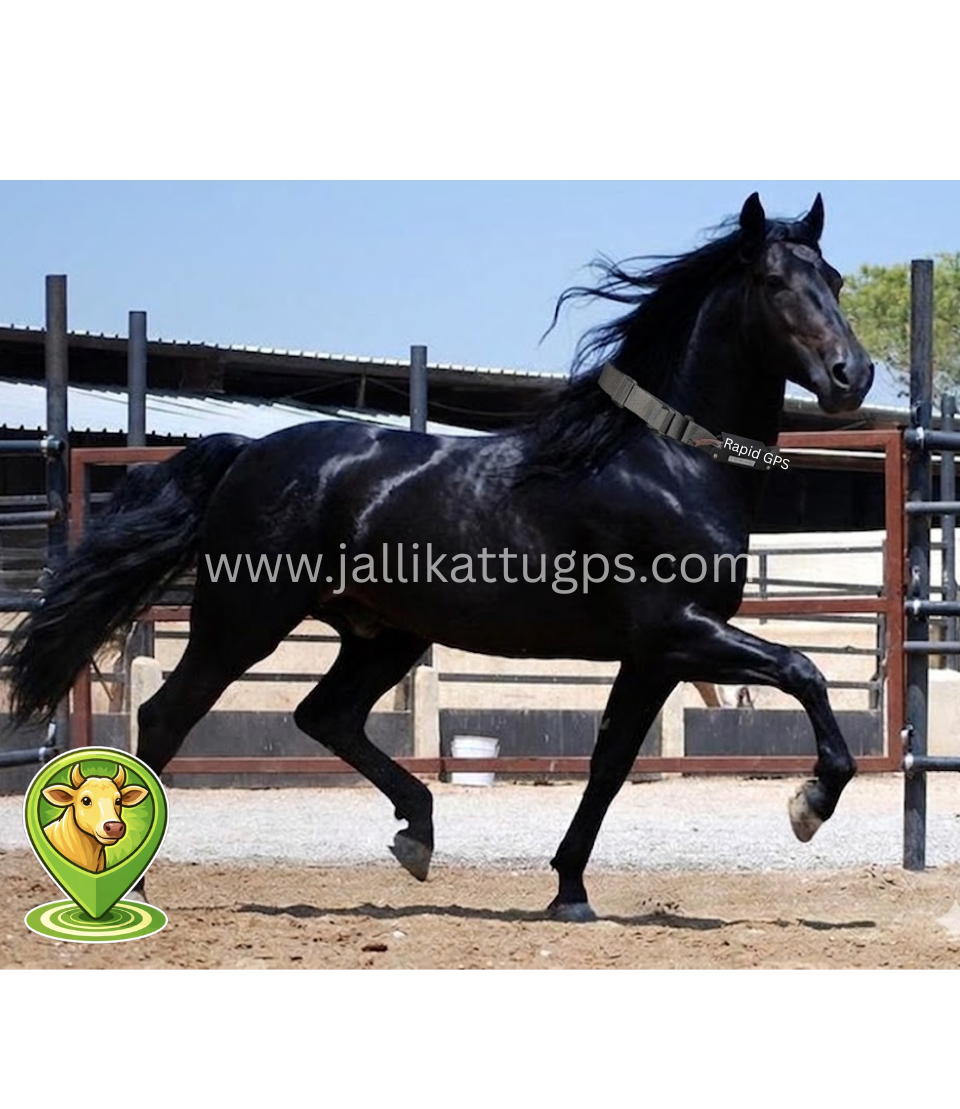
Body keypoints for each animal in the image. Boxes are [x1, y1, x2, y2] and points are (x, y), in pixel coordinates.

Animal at [1, 192, 874, 922]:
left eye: (831, 277)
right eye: (774, 282)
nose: (851, 375)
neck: (667, 462)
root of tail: (247, 451)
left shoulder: (654, 655)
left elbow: (610, 763)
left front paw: (569, 890)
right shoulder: (680, 630)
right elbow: (805, 670)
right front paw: (808, 804)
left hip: (384, 633)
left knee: (324, 714)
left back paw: (416, 834)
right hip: (242, 620)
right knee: (167, 716)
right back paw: (137, 887)